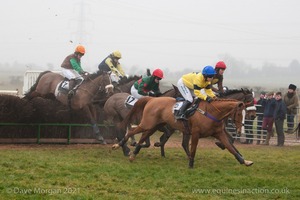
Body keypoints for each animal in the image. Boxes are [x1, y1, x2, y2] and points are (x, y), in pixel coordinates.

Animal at [113, 96, 253, 168]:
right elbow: (193, 149)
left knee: (143, 137)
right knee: (132, 131)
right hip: (147, 123)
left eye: (245, 114)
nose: (239, 131)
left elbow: (231, 148)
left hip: (154, 126)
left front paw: (244, 161)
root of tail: (152, 98)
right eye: (239, 114)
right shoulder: (195, 134)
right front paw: (191, 164)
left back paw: (133, 154)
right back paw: (119, 145)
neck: (212, 113)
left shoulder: (219, 133)